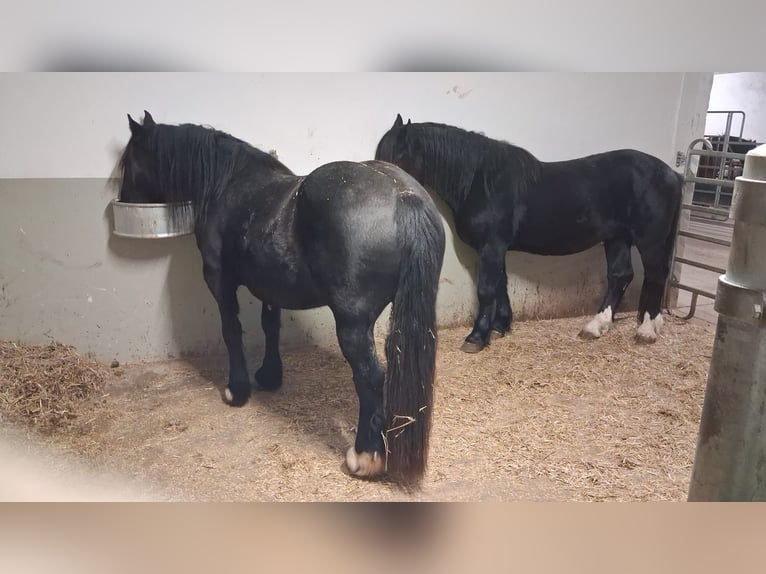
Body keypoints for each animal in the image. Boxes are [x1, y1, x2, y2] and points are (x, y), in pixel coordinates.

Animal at [118, 111, 446, 485]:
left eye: (128, 161)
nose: (124, 197)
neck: (227, 184)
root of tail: (403, 196)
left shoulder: (219, 281)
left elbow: (231, 330)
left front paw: (237, 390)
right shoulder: (271, 287)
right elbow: (269, 326)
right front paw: (269, 376)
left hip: (352, 324)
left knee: (371, 377)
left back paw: (365, 456)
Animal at [375, 115, 683, 353]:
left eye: (398, 157)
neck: (480, 181)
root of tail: (671, 173)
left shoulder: (492, 246)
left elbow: (487, 288)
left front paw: (477, 337)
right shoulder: (495, 248)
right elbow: (500, 284)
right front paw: (500, 327)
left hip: (649, 240)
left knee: (655, 275)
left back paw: (646, 330)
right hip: (617, 237)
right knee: (620, 276)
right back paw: (597, 326)